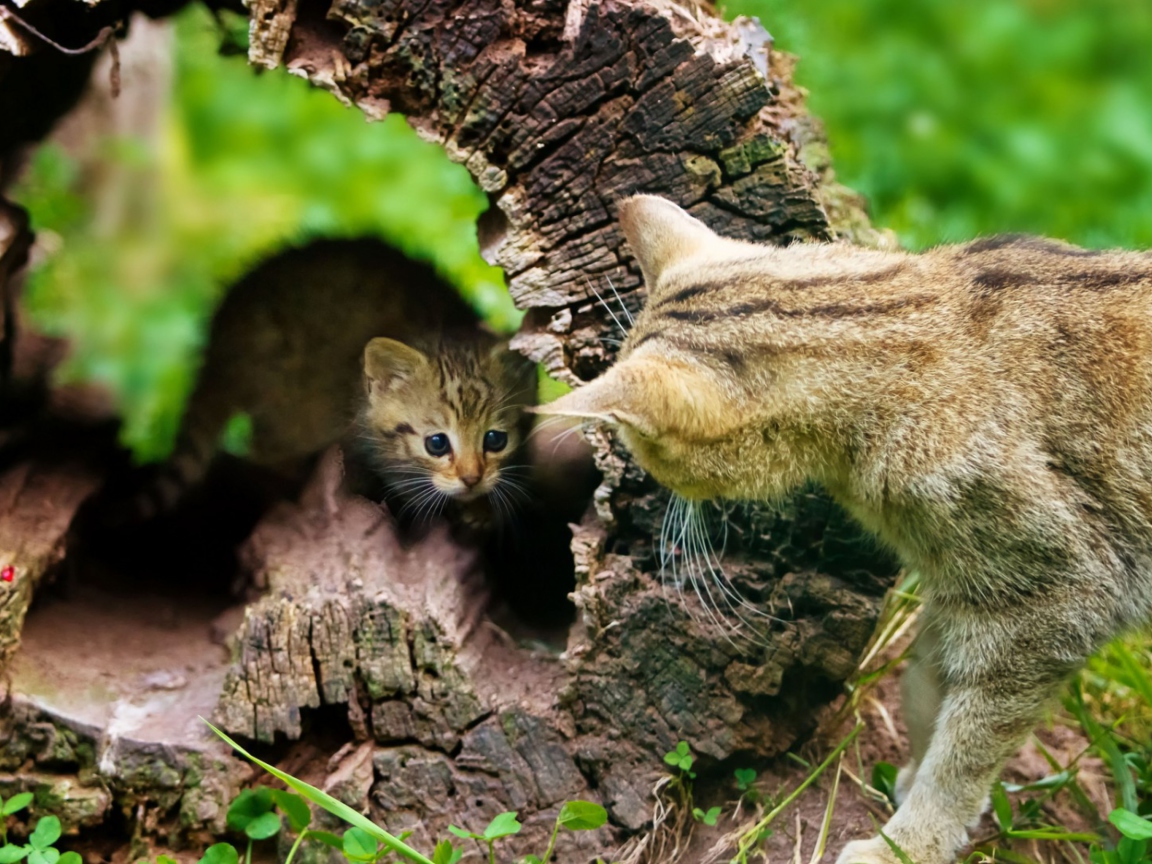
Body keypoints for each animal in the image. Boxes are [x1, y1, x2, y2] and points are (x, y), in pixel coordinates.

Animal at [536, 195, 1152, 864]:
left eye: (645, 445)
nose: (646, 482)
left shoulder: (1051, 605)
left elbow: (965, 752)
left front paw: (907, 845)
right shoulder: (966, 588)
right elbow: (926, 685)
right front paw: (911, 780)